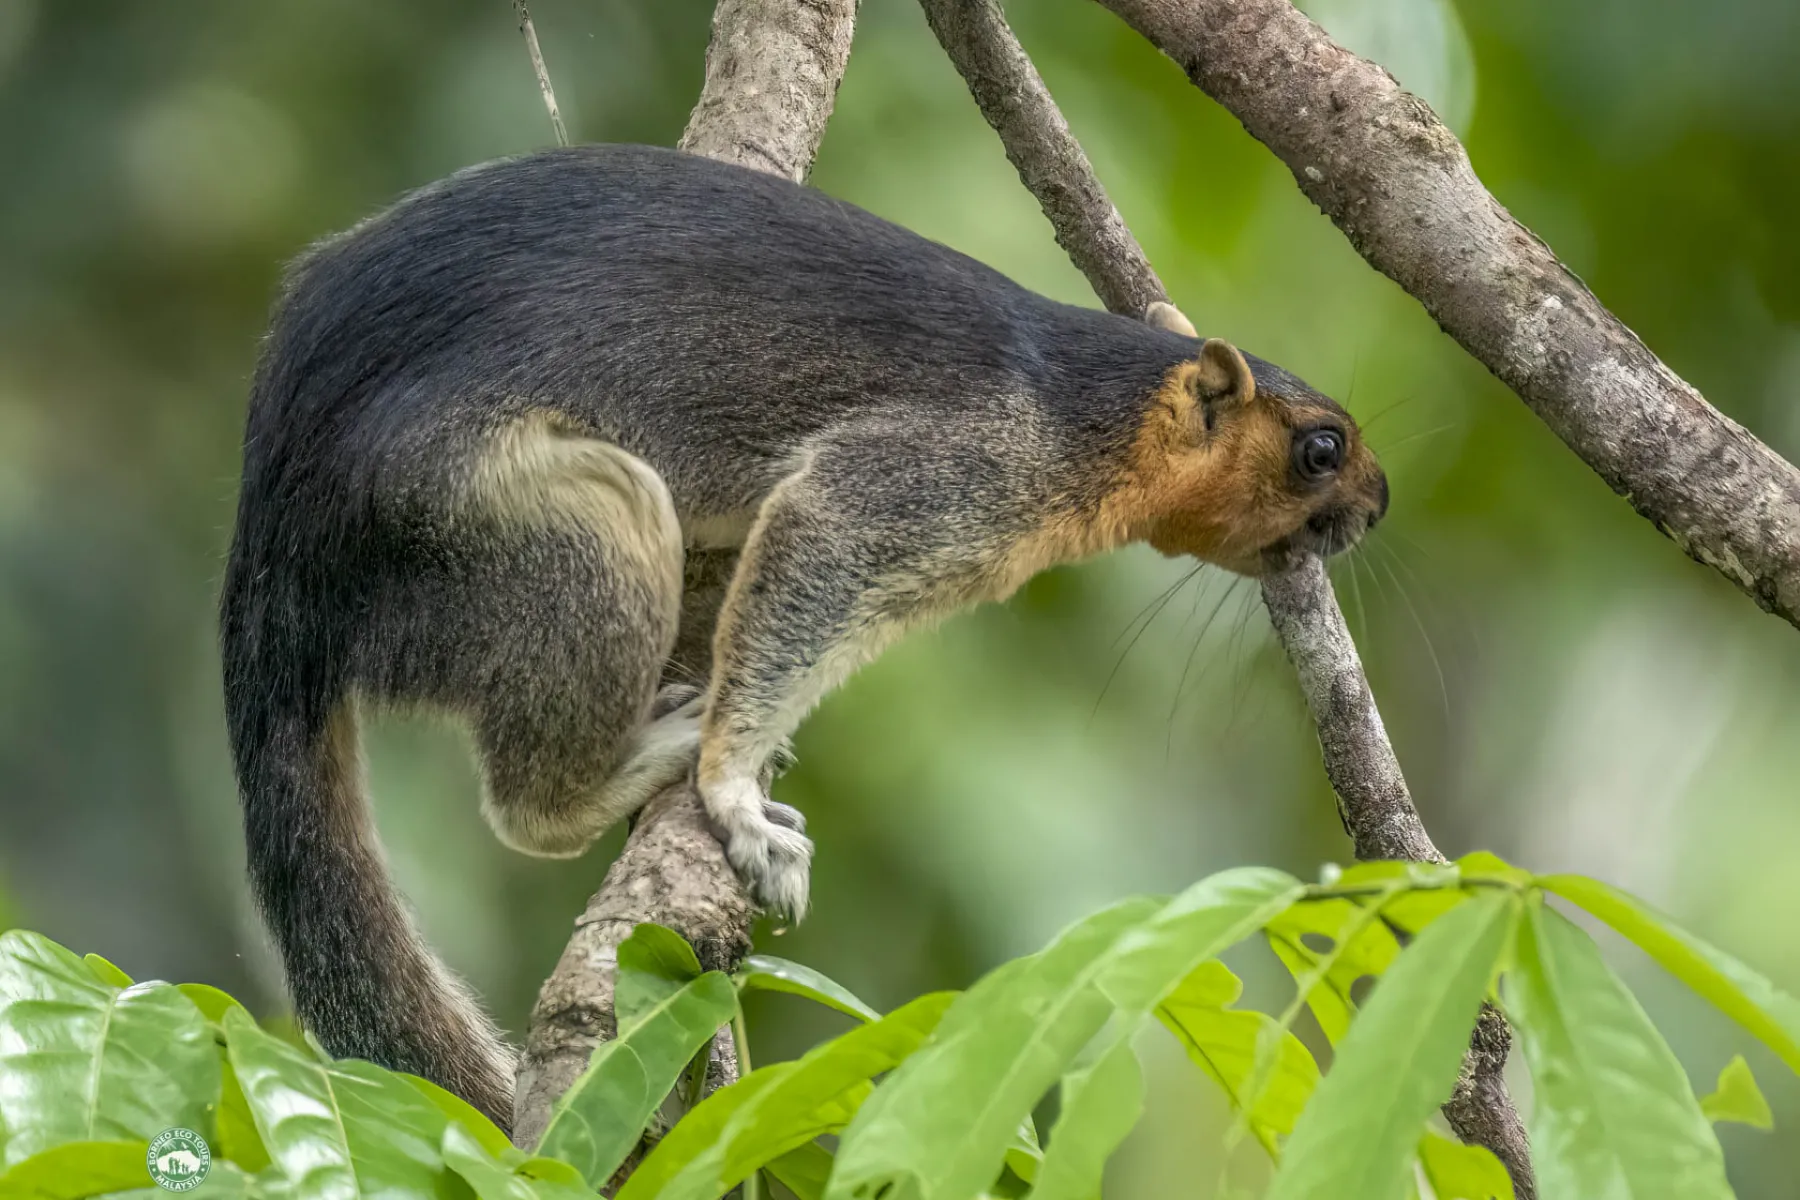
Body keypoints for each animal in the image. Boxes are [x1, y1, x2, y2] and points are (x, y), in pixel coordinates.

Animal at [220, 143, 1388, 1128]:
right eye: (1321, 448)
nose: (1378, 508)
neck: (1086, 410)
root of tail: (272, 556)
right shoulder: (944, 478)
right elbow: (822, 536)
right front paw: (734, 791)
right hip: (517, 527)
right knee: (526, 804)